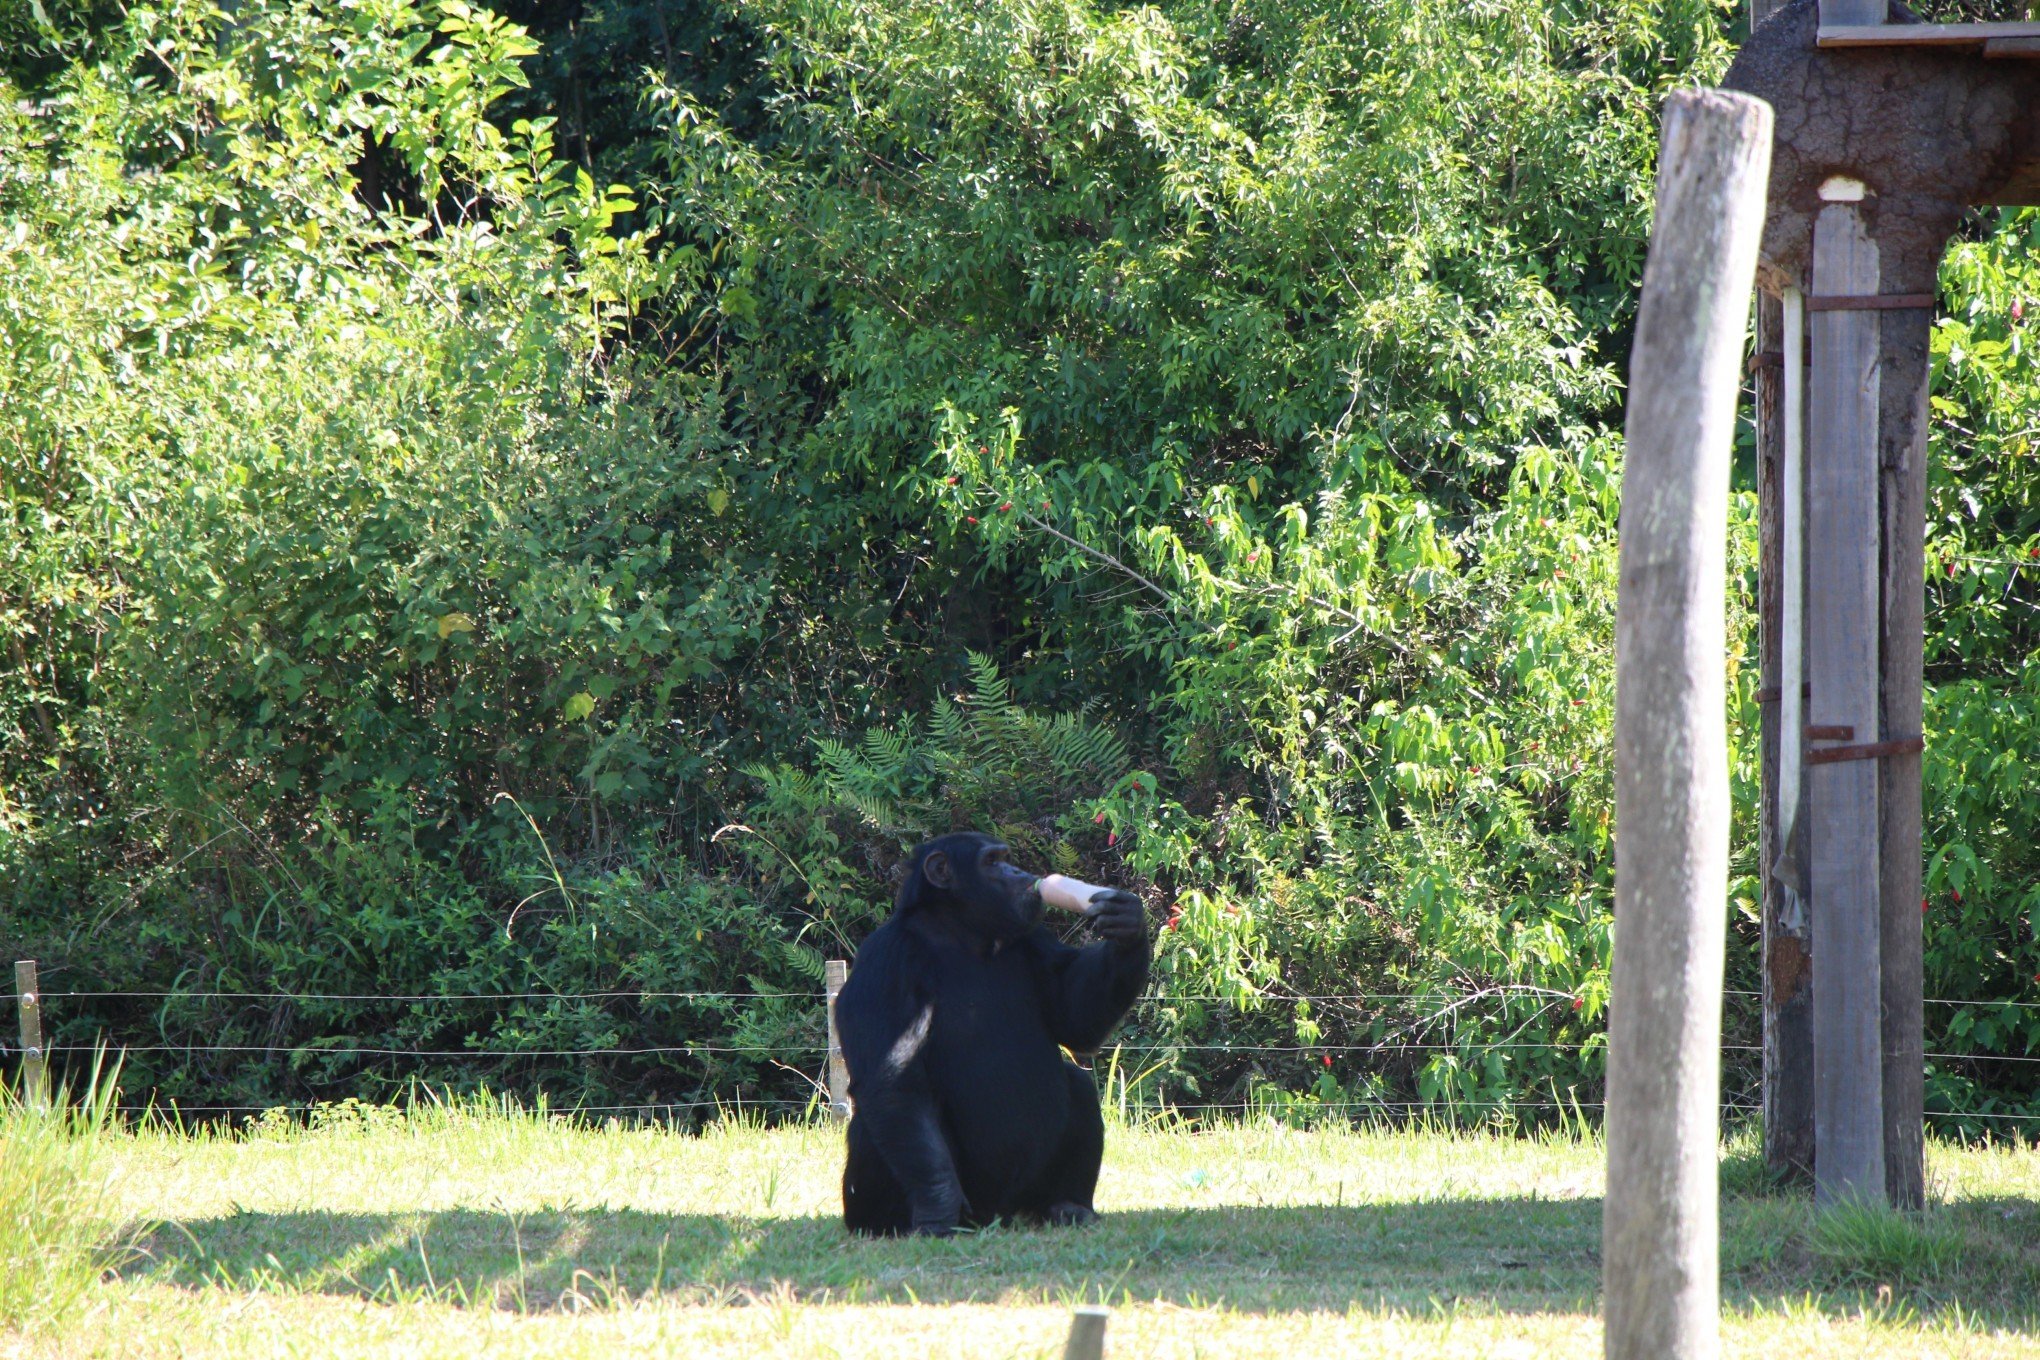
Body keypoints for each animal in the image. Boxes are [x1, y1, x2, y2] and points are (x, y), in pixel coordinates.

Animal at [828, 831, 1150, 1231]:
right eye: (992, 862)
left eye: (1006, 858)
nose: (1018, 871)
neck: (965, 933)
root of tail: (996, 1215)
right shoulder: (886, 961)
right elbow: (893, 1078)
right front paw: (938, 1206)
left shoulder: (1035, 939)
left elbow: (1077, 1020)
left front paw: (1127, 925)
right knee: (893, 1111)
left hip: (1022, 1201)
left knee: (1077, 1083)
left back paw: (1067, 1205)